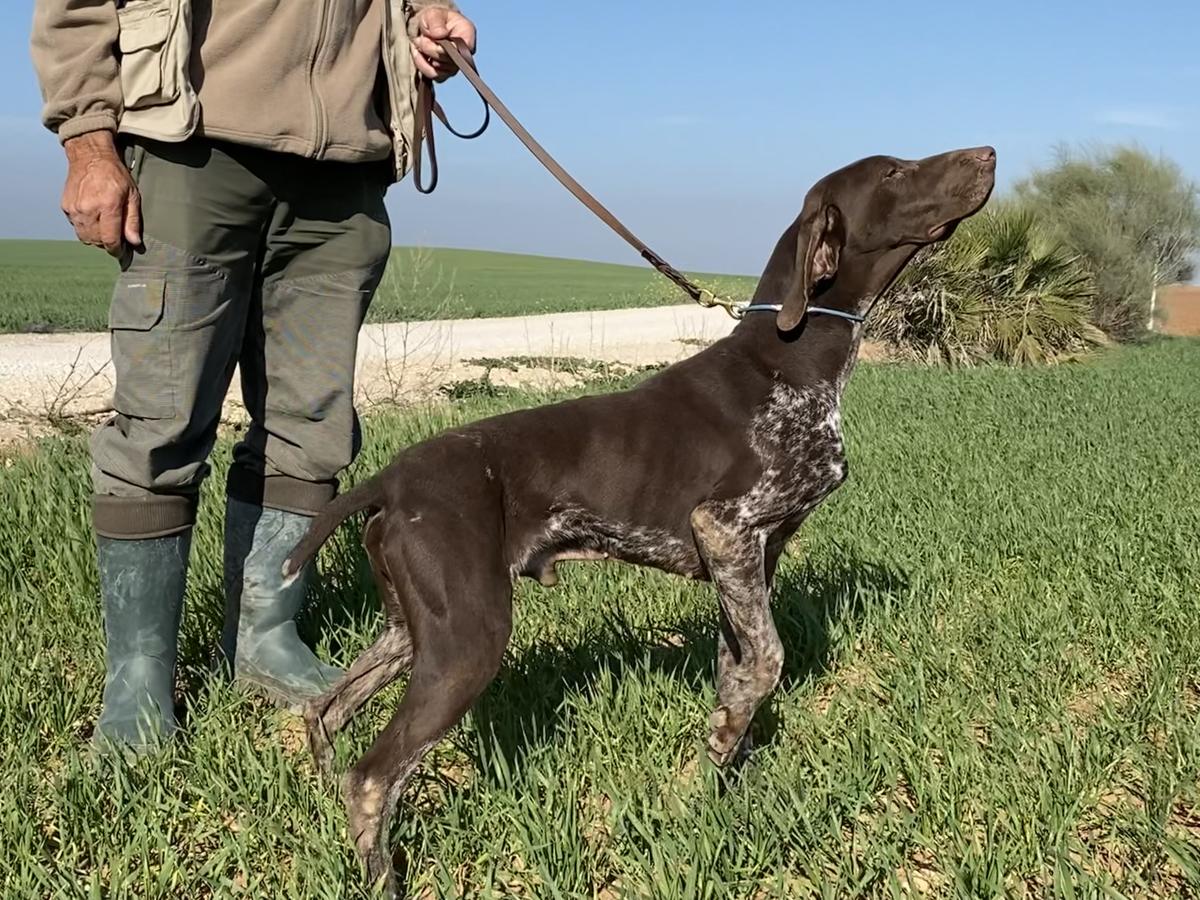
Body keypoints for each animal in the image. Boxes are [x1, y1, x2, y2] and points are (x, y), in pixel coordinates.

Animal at [283, 148, 993, 897]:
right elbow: (768, 664)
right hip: (467, 641)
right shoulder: (725, 527)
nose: (989, 154)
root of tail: (391, 480)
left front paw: (725, 779)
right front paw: (717, 754)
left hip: (409, 630)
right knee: (371, 776)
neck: (787, 359)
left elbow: (738, 672)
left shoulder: (748, 562)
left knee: (324, 711)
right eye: (893, 173)